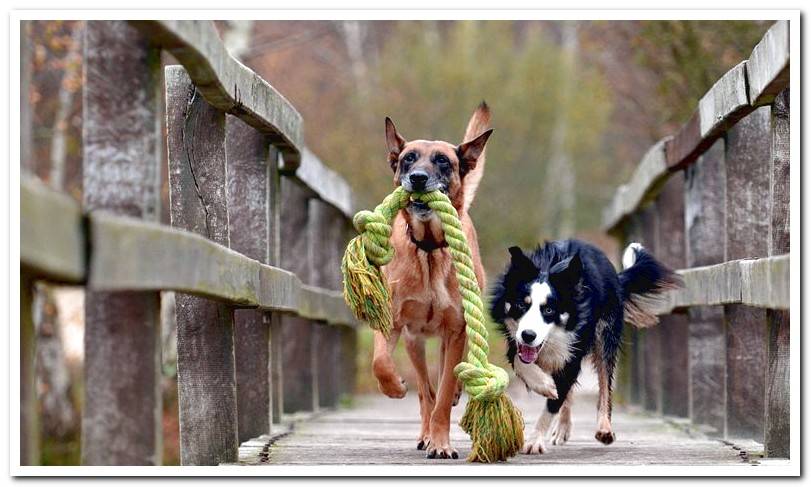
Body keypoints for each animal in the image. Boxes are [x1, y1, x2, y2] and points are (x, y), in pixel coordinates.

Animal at [372, 103, 492, 462]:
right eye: (408, 158)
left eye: (442, 161)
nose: (418, 178)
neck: (427, 249)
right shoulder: (392, 322)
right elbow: (381, 362)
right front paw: (395, 387)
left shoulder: (456, 330)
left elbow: (444, 392)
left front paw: (441, 443)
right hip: (415, 342)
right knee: (425, 390)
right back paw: (423, 431)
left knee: (442, 385)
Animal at [492, 239, 680, 454]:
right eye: (521, 305)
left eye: (549, 310)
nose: (528, 335)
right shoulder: (514, 339)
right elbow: (521, 361)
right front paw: (544, 384)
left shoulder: (573, 350)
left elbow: (554, 402)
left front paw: (535, 440)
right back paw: (563, 426)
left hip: (605, 334)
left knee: (604, 384)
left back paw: (604, 429)